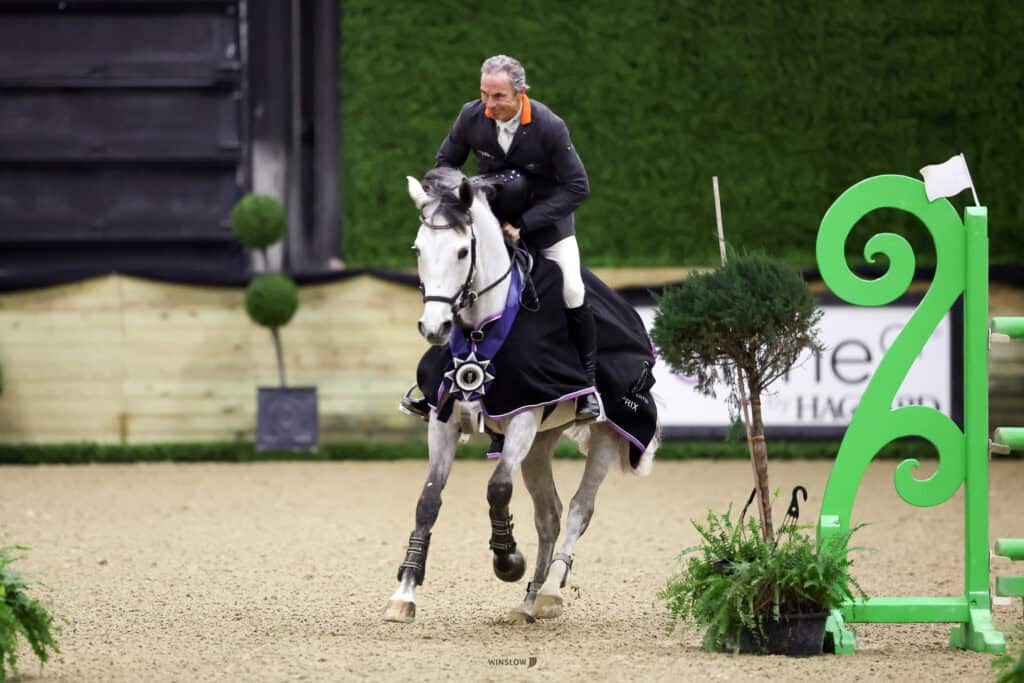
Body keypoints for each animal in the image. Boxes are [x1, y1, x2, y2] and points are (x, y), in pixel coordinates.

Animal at [384, 167, 660, 624]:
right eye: (418, 249)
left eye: (462, 252)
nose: (435, 327)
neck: (480, 333)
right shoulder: (444, 418)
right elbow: (428, 500)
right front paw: (404, 594)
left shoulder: (524, 414)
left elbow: (497, 488)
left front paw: (508, 561)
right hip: (540, 445)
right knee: (549, 515)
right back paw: (528, 602)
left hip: (605, 435)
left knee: (579, 509)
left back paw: (549, 591)